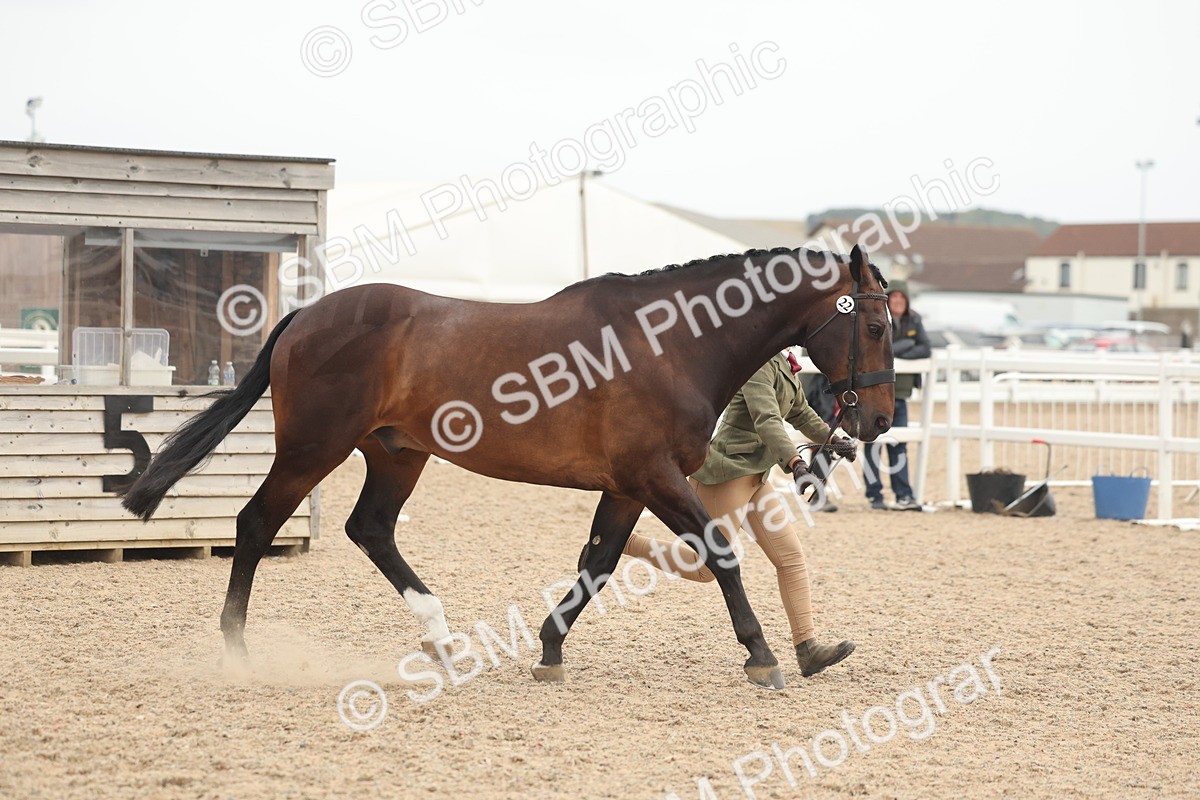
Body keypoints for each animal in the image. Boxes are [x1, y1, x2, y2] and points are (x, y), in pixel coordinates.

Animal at [121, 244, 894, 690]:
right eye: (876, 323)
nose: (880, 420)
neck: (670, 344)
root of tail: (306, 316)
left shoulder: (627, 486)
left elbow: (598, 561)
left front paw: (549, 650)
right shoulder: (654, 477)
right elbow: (721, 554)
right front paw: (763, 656)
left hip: (396, 453)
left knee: (370, 529)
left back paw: (441, 640)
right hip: (314, 449)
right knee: (256, 524)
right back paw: (238, 653)